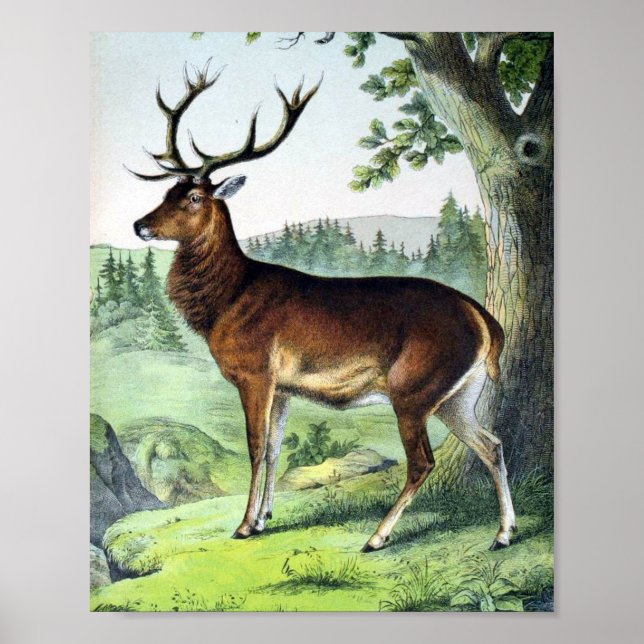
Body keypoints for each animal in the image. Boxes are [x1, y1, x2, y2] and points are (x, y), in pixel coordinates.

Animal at [129, 62, 516, 552]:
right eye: (166, 193)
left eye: (194, 197)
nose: (139, 225)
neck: (228, 301)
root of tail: (485, 319)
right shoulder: (284, 386)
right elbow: (275, 448)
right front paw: (264, 518)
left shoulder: (256, 372)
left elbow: (255, 446)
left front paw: (243, 525)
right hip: (458, 394)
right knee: (492, 443)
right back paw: (504, 533)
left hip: (414, 387)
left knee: (423, 461)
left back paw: (377, 537)